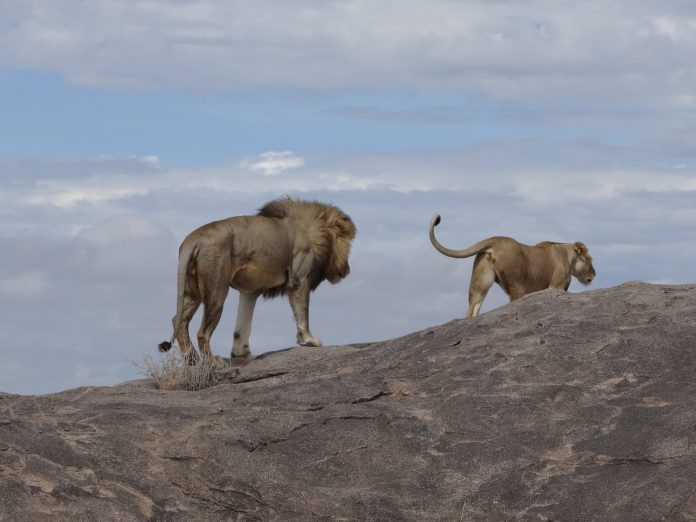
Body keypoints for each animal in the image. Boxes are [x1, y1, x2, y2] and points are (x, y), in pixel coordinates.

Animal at [160, 195, 356, 362]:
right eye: (348, 243)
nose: (348, 270)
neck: (312, 231)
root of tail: (193, 239)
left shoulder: (250, 291)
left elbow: (242, 325)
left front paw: (240, 353)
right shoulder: (299, 280)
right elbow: (302, 313)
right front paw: (309, 341)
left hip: (192, 290)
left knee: (179, 321)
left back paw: (192, 360)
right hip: (217, 290)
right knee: (202, 332)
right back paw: (212, 363)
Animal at [426, 212, 596, 316]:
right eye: (590, 260)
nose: (594, 275)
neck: (567, 255)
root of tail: (495, 240)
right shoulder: (557, 285)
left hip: (480, 279)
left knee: (472, 308)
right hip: (517, 283)